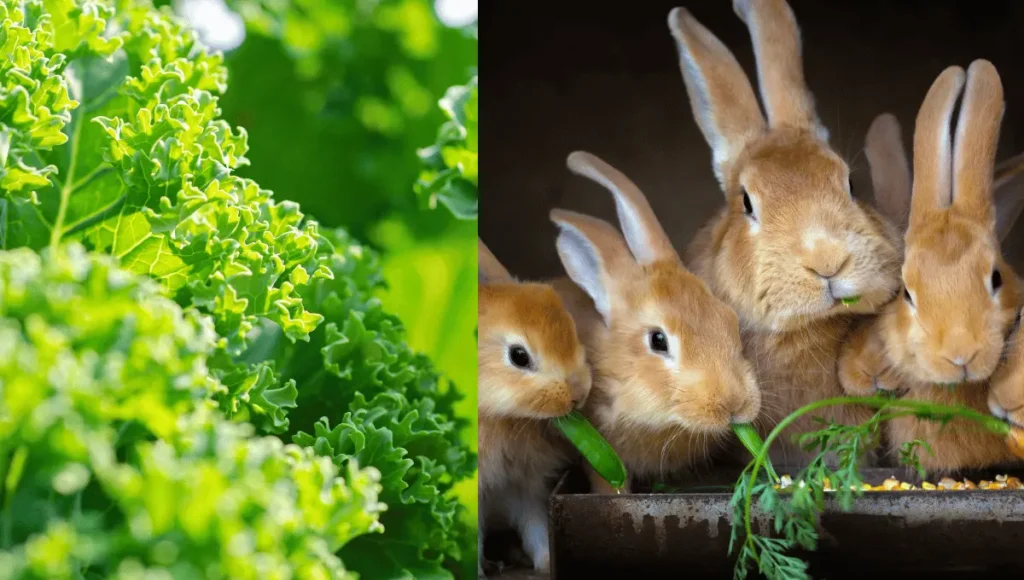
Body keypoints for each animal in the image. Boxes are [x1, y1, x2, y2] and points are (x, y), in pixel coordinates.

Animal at [477, 238, 593, 573]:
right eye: (519, 356)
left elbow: (535, 525)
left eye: (571, 329)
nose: (579, 393)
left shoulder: (523, 485)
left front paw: (545, 563)